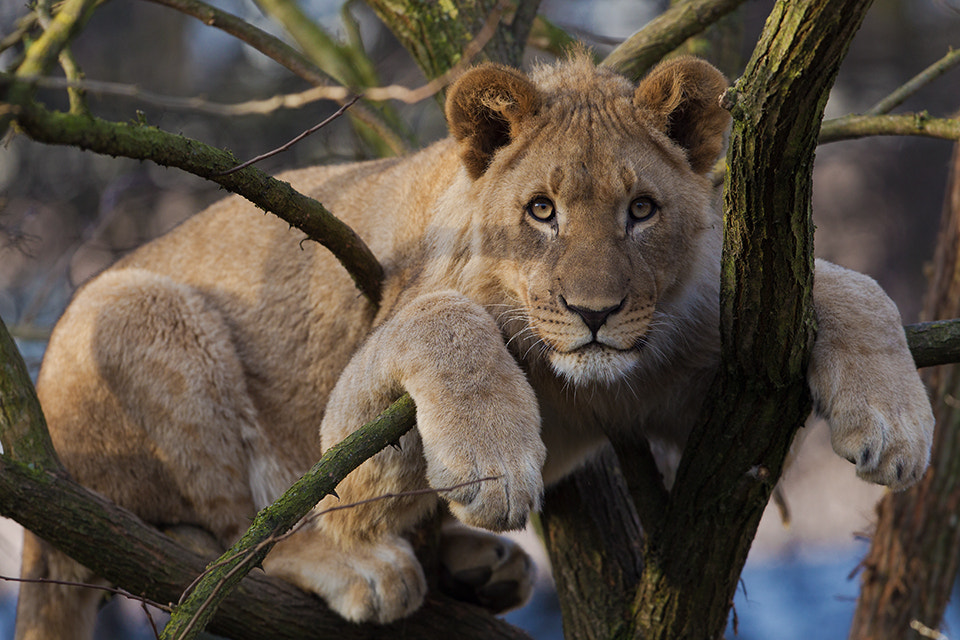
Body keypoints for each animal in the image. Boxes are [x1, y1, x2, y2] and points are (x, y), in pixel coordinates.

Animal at [15, 55, 934, 638]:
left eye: (641, 210)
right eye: (541, 211)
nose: (594, 312)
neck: (581, 381)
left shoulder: (693, 373)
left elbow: (849, 280)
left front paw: (898, 423)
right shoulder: (357, 402)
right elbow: (446, 316)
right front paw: (490, 464)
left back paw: (479, 567)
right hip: (134, 310)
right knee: (233, 540)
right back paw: (367, 567)